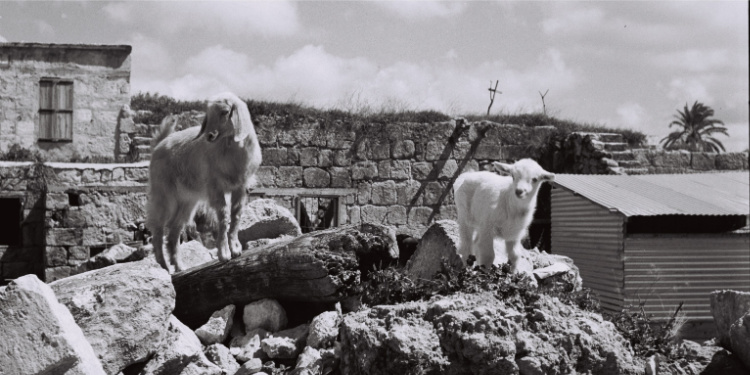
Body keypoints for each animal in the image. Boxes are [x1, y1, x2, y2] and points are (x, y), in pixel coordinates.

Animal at [148, 92, 264, 272]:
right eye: (208, 114)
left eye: (225, 112)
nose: (209, 136)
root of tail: (159, 145)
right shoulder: (215, 186)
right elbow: (223, 216)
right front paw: (224, 254)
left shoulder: (241, 186)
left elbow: (236, 215)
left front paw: (235, 249)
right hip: (163, 193)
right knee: (158, 229)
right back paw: (165, 267)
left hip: (187, 200)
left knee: (174, 229)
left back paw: (180, 266)